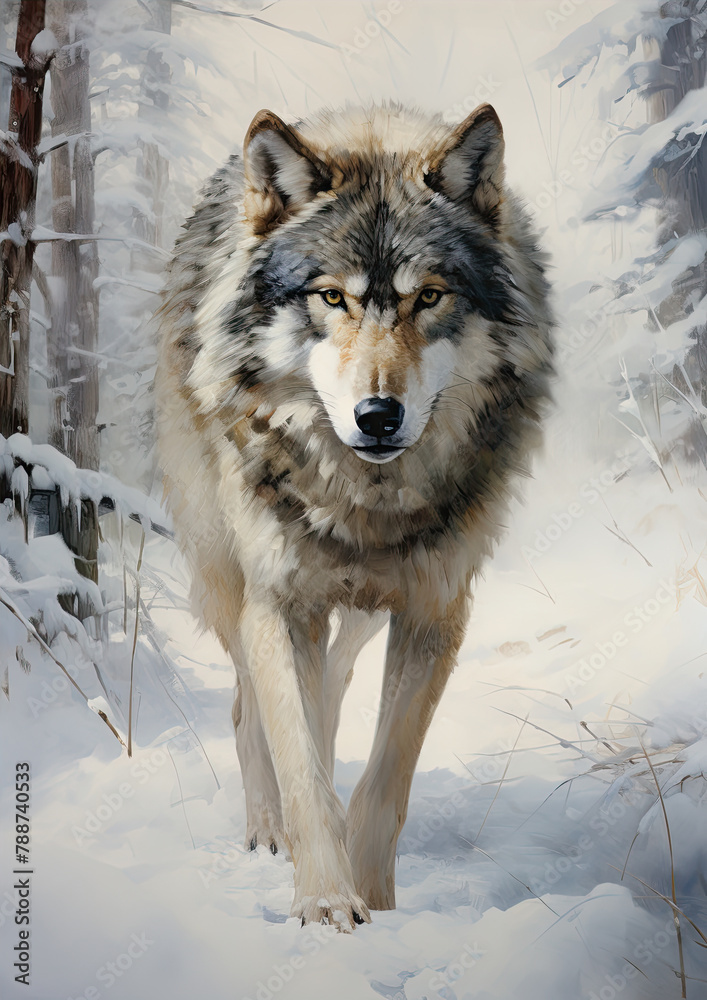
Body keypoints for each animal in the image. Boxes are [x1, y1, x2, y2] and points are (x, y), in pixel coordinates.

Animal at [155, 101, 554, 930]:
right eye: (330, 297)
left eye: (427, 296)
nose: (377, 415)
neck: (365, 503)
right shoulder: (277, 603)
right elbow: (299, 762)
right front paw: (326, 902)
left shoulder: (436, 610)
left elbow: (386, 776)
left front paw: (373, 896)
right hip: (229, 577)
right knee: (250, 710)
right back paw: (269, 831)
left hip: (368, 608)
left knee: (332, 687)